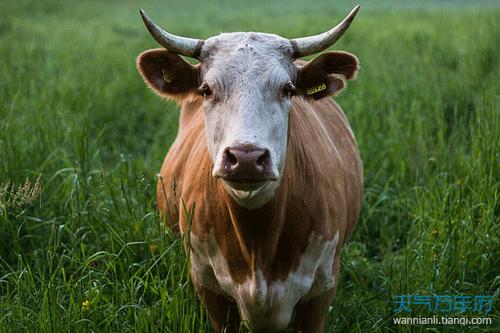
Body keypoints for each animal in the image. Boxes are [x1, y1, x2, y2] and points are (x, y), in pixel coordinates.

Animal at [137, 5, 364, 332]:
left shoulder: (321, 290)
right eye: (206, 89)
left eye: (288, 89)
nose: (246, 157)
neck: (258, 245)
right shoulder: (208, 287)